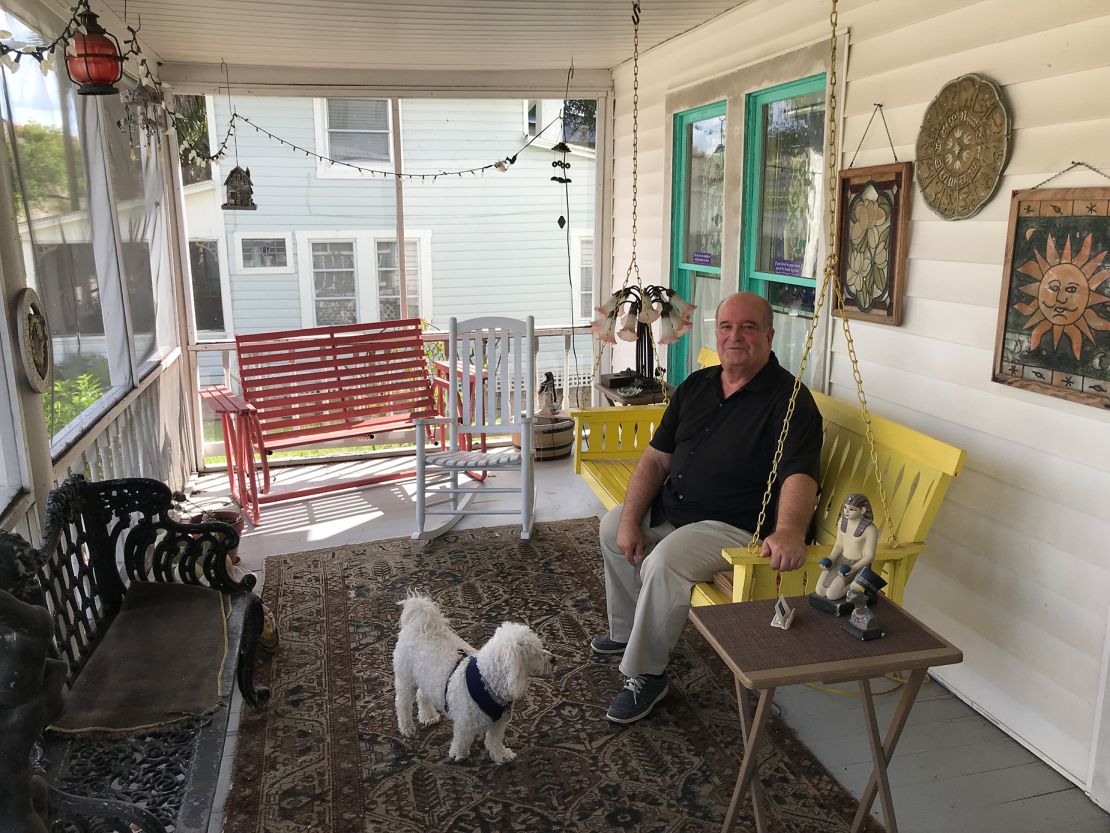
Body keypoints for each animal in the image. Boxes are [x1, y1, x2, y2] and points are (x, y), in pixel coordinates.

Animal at [392, 595, 552, 764]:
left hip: (426, 677)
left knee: (422, 694)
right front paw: (458, 755)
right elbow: (462, 740)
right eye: (534, 652)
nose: (553, 659)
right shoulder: (464, 724)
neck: (486, 680)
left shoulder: (498, 724)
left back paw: (428, 716)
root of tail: (417, 625)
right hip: (405, 679)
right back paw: (406, 727)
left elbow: (494, 741)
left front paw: (502, 755)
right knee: (402, 704)